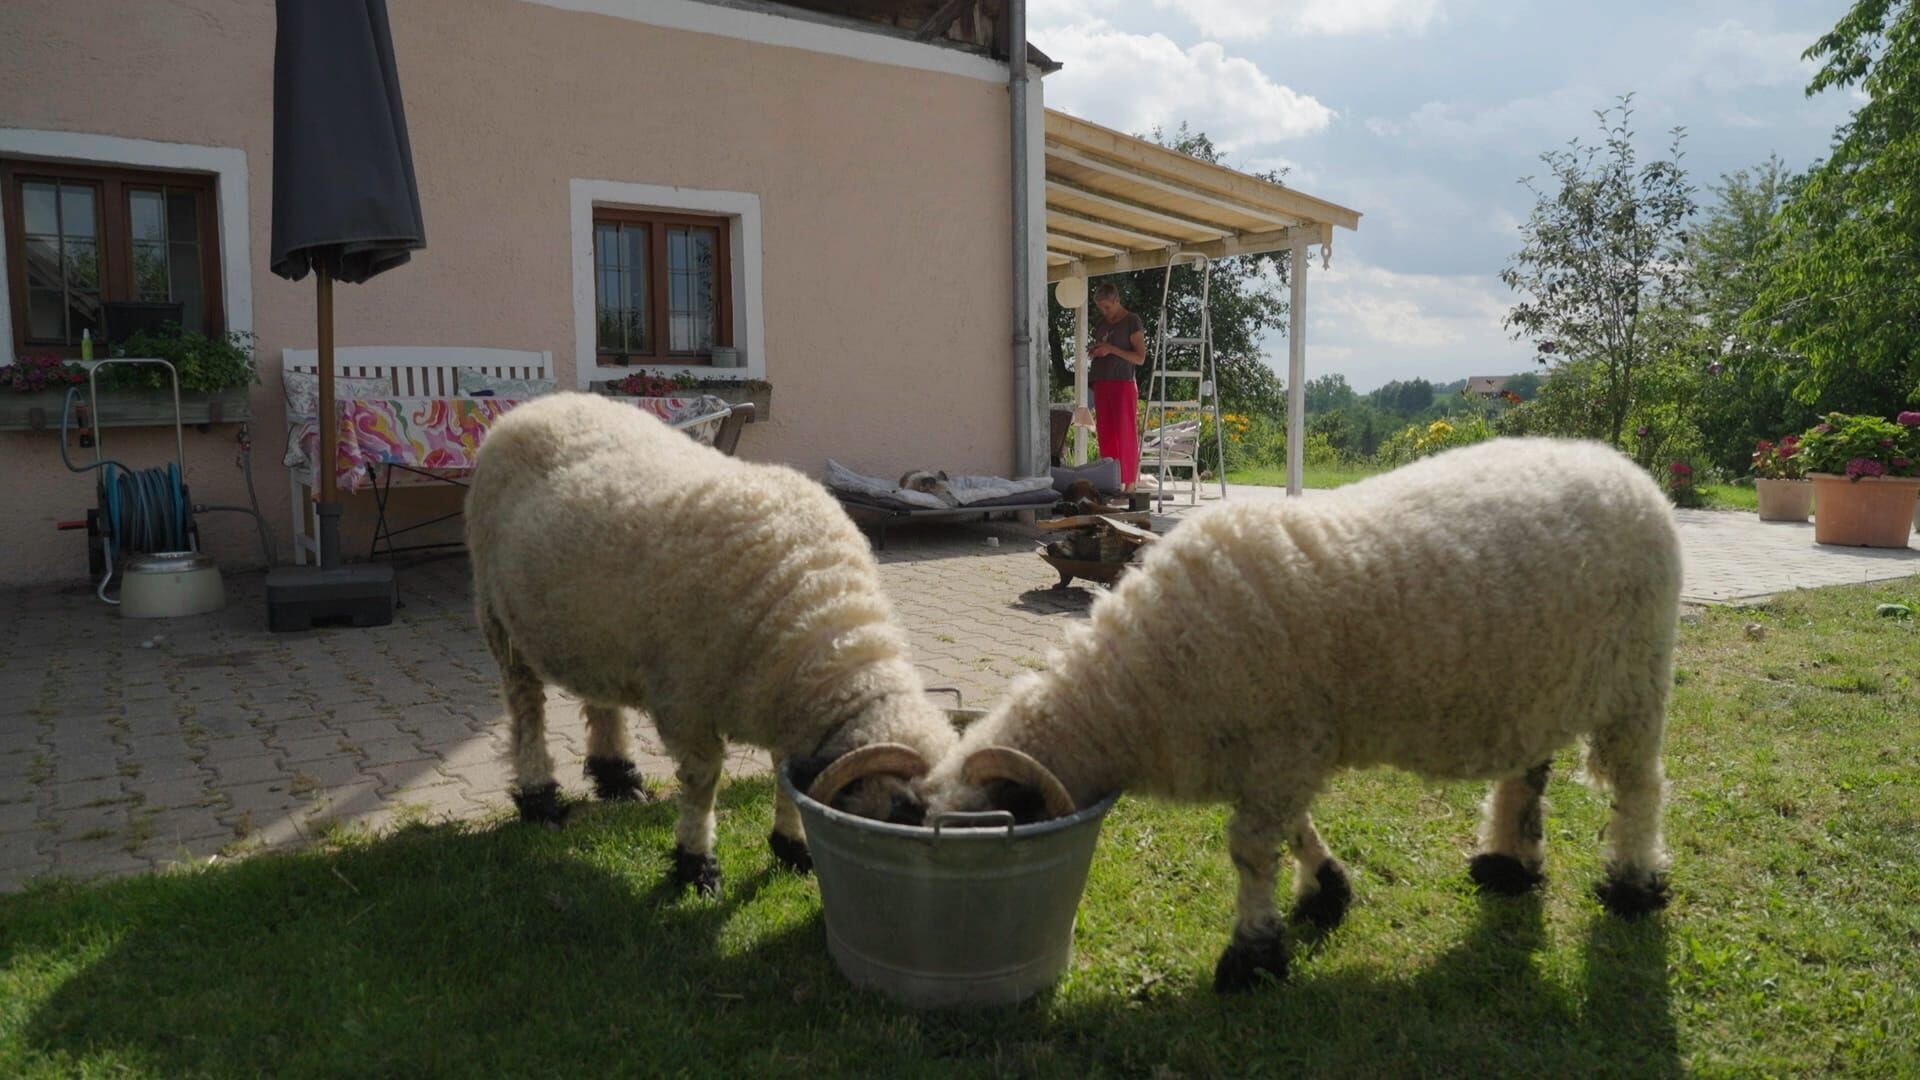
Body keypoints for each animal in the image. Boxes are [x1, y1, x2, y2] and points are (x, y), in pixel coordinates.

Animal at [917, 432, 1681, 991]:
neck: (1135, 688)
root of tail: (1624, 469)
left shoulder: (1281, 745)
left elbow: (1253, 850)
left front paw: (1253, 955)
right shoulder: (1279, 756)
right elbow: (1291, 832)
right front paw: (1325, 892)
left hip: (1638, 680)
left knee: (1640, 788)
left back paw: (1633, 885)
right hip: (1538, 681)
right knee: (1528, 773)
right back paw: (1509, 866)